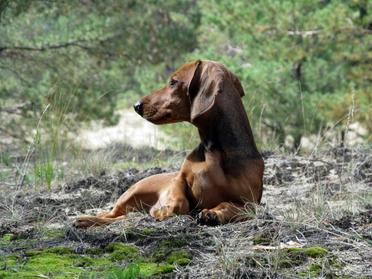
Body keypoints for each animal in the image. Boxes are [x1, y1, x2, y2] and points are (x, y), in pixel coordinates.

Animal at [73, 60, 264, 229]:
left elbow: (232, 206)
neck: (214, 151)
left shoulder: (250, 202)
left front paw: (213, 213)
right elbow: (179, 200)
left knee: (121, 217)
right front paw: (164, 209)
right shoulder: (178, 179)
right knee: (109, 215)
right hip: (130, 194)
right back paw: (84, 220)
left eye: (173, 82)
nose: (136, 105)